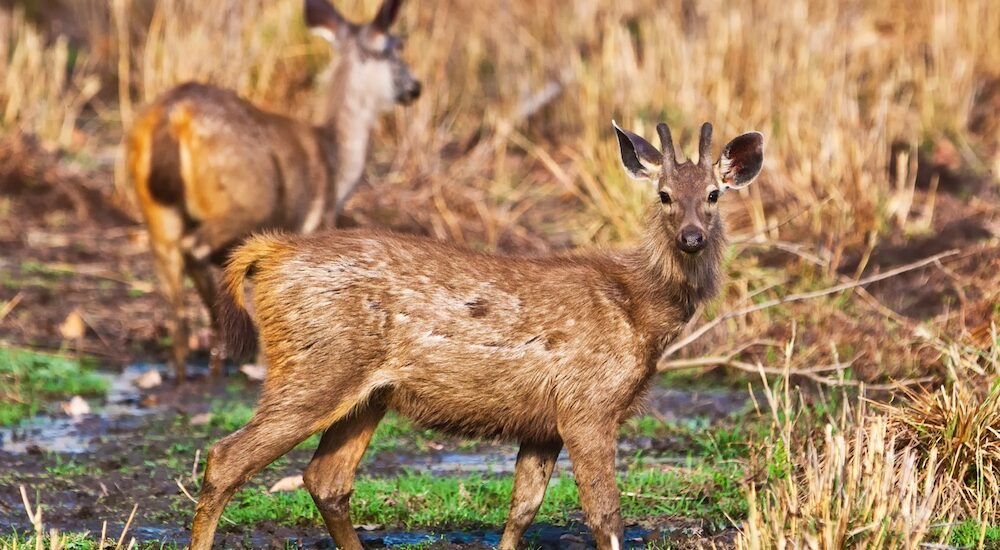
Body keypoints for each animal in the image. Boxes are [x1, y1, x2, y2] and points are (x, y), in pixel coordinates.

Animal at [125, 0, 420, 382]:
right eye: (396, 48)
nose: (415, 87)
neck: (336, 163)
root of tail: (172, 115)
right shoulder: (313, 227)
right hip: (244, 201)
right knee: (195, 252)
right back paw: (223, 355)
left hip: (157, 214)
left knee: (173, 286)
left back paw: (186, 367)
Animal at [190, 121, 764, 550]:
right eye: (664, 195)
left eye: (713, 194)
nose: (692, 236)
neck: (642, 312)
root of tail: (270, 252)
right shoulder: (588, 405)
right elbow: (606, 516)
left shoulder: (544, 422)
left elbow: (522, 510)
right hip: (314, 366)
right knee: (227, 457)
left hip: (366, 393)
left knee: (326, 479)